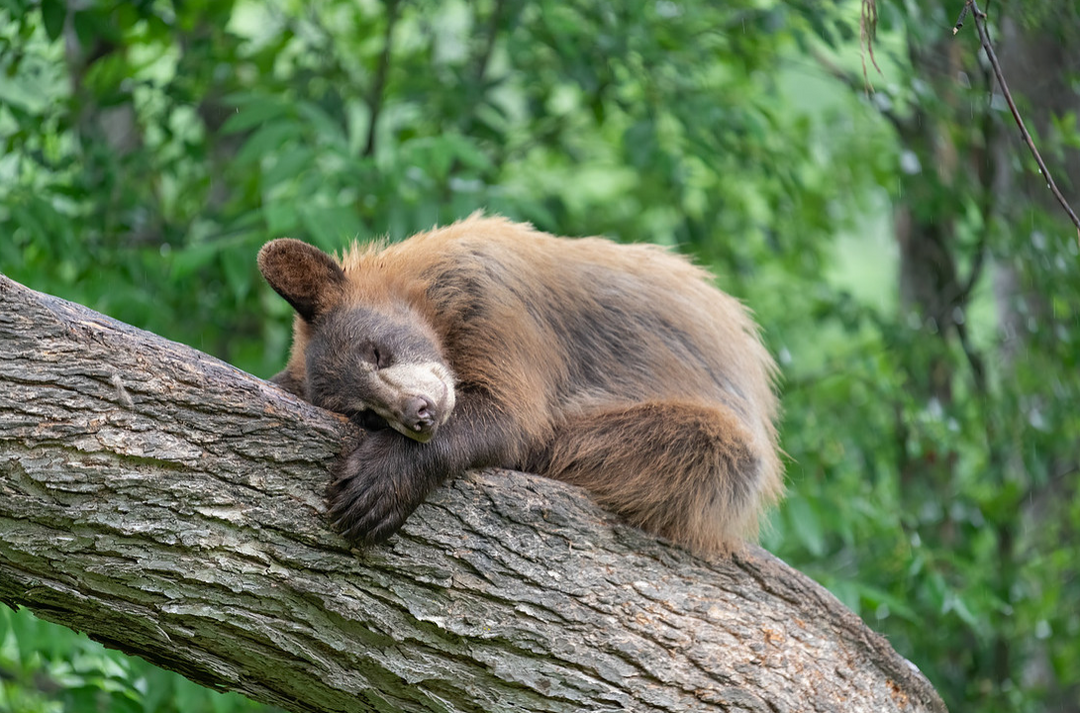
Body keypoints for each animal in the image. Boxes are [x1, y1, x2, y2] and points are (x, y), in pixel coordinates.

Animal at [257, 214, 782, 554]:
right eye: (365, 414)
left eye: (375, 350)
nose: (419, 414)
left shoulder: (499, 302)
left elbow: (513, 415)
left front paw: (375, 484)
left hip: (725, 453)